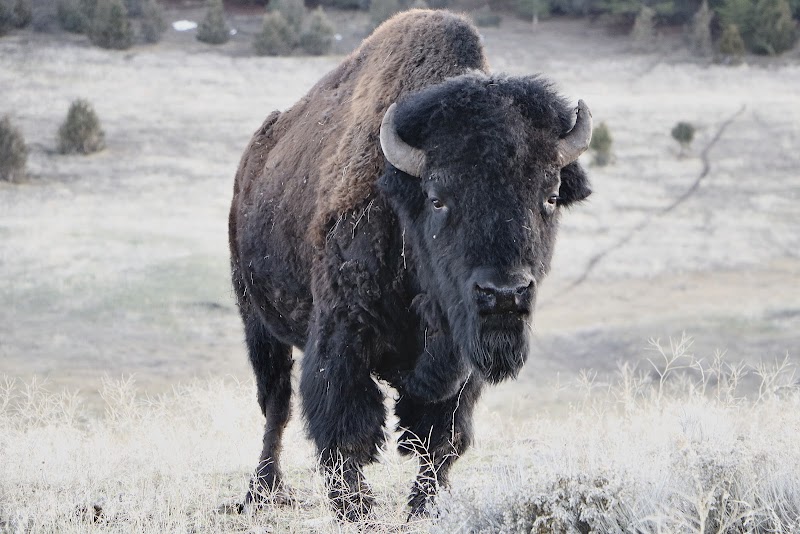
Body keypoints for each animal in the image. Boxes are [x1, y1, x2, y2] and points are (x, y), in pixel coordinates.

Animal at [228, 9, 592, 520]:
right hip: (257, 321)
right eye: (438, 197)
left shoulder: (461, 364)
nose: (504, 294)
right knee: (276, 406)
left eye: (551, 195)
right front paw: (357, 510)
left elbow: (442, 440)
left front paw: (423, 508)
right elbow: (346, 433)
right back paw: (261, 493)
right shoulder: (342, 339)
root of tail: (252, 161)